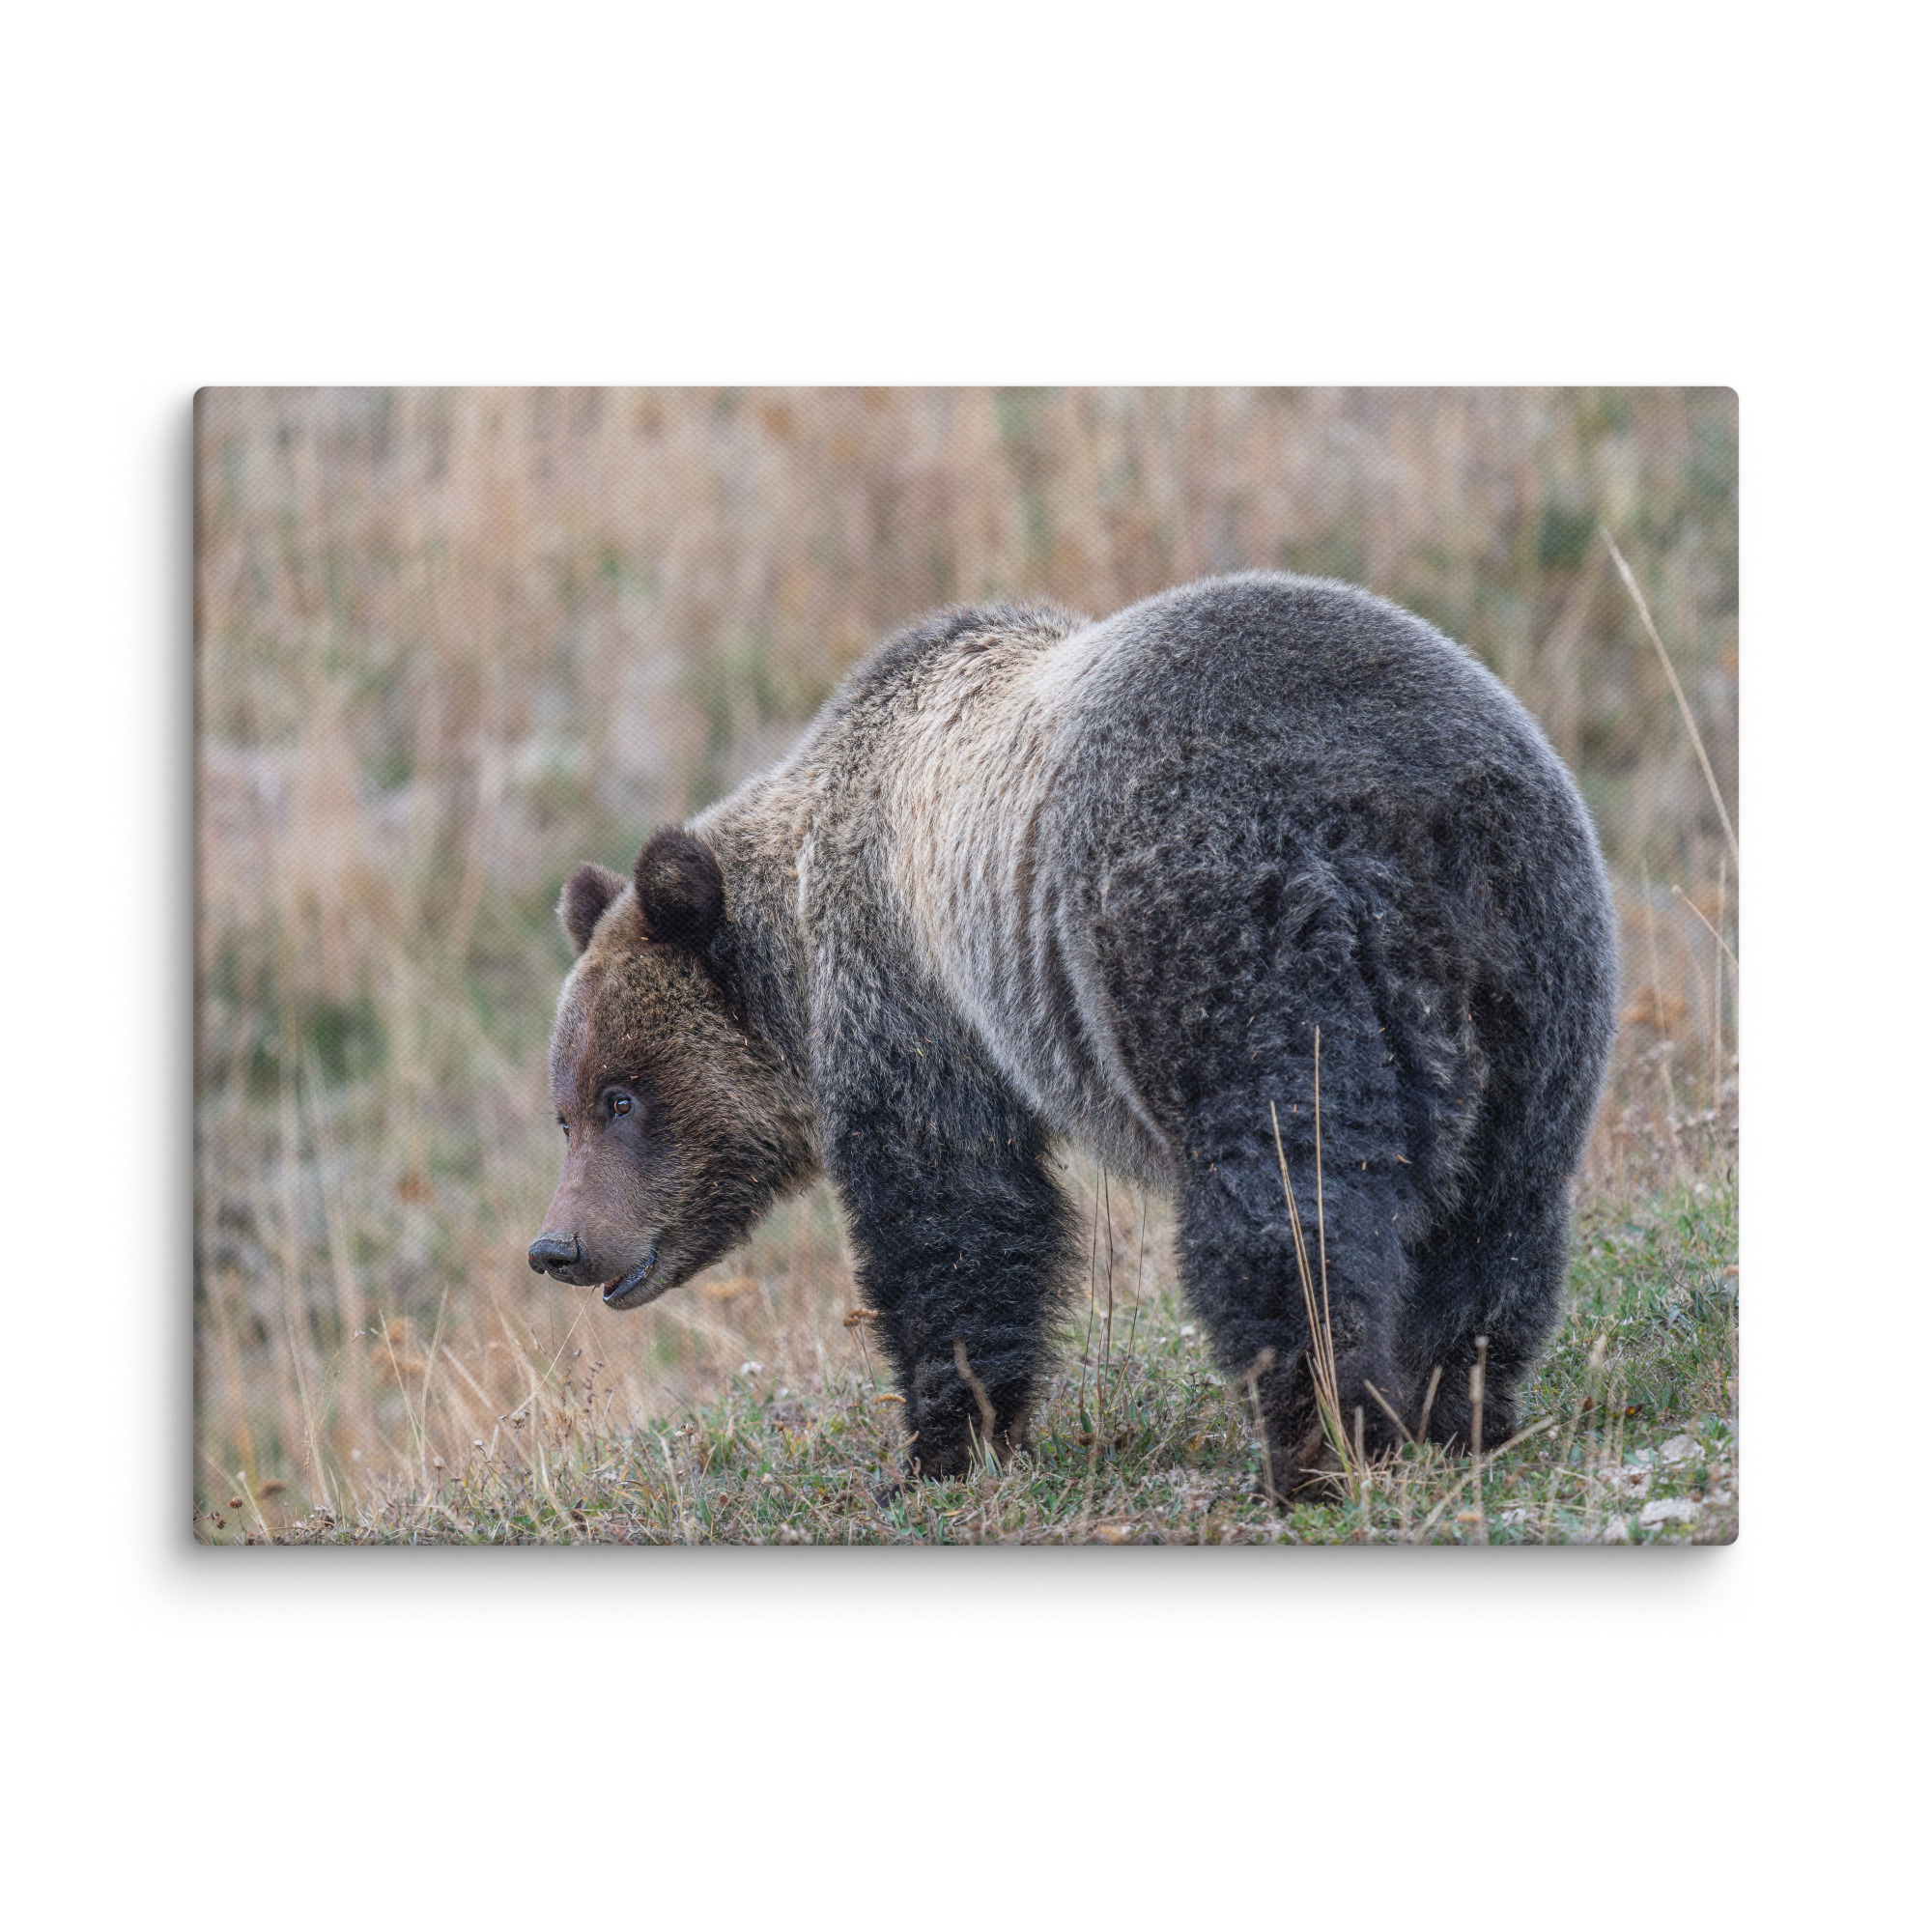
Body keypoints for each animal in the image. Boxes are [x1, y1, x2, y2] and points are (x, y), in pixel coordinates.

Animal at [528, 572, 1618, 1487]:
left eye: (621, 1095)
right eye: (566, 1109)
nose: (559, 1246)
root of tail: (1406, 808)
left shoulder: (914, 993)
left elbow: (953, 1215)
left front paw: (940, 1445)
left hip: (1229, 937)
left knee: (1287, 1201)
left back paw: (1317, 1444)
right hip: (1536, 969)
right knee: (1497, 1212)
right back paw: (1456, 1412)